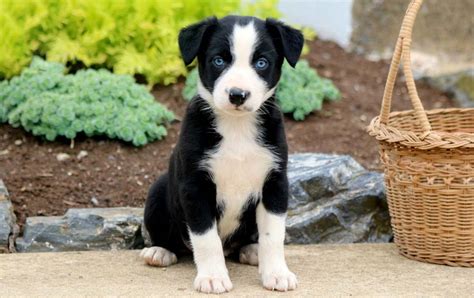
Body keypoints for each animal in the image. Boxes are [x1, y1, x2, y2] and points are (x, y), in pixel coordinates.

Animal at [141, 15, 304, 292]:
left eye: (261, 63)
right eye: (219, 60)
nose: (238, 95)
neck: (236, 128)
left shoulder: (275, 182)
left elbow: (273, 235)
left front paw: (277, 273)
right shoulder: (195, 186)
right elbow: (207, 238)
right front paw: (213, 277)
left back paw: (252, 250)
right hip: (158, 192)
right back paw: (159, 252)